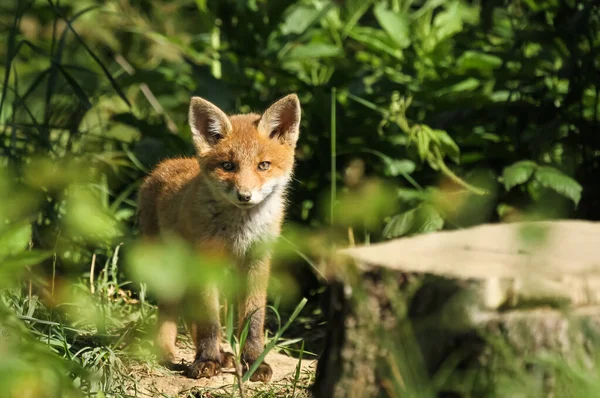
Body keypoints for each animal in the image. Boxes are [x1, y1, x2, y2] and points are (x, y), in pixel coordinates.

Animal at [138, 93, 302, 382]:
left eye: (263, 165)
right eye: (228, 166)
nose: (245, 196)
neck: (240, 230)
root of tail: (163, 166)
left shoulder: (257, 262)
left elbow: (253, 320)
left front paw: (253, 362)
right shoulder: (206, 260)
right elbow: (210, 322)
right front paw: (207, 361)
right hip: (171, 269)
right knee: (172, 311)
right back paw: (167, 353)